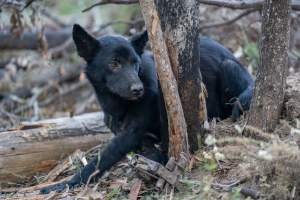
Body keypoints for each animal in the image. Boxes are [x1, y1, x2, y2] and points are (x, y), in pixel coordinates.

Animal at [39, 24, 253, 193]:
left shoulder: (131, 132)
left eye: (135, 63)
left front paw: (64, 184)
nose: (138, 89)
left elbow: (101, 160)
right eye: (114, 63)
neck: (117, 103)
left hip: (229, 68)